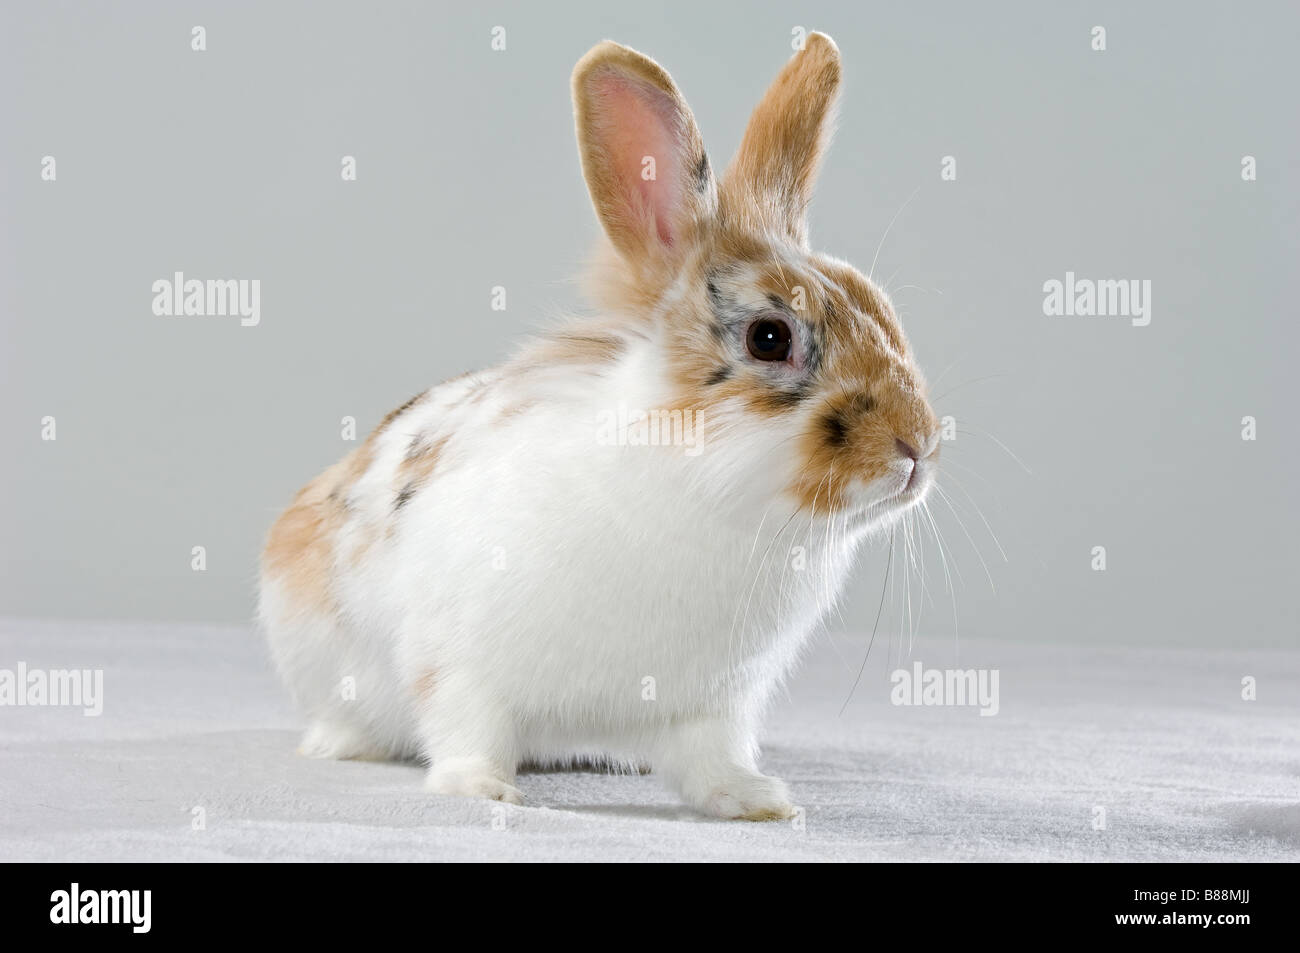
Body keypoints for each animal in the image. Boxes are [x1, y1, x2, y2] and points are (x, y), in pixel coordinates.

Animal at [259, 32, 940, 820]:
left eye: (881, 306)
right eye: (769, 338)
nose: (917, 448)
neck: (701, 500)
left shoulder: (715, 704)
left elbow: (713, 759)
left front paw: (760, 801)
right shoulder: (459, 662)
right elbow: (466, 724)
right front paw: (486, 789)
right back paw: (340, 744)